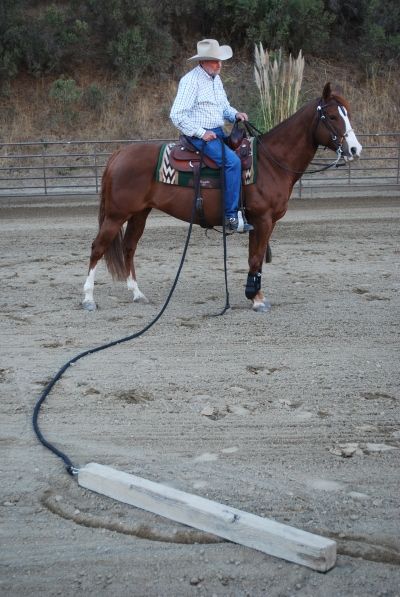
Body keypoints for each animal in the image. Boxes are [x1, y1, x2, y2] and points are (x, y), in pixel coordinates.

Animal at [82, 83, 362, 312]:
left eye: (347, 114)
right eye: (333, 116)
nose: (355, 149)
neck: (271, 162)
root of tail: (119, 153)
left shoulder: (261, 223)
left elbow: (256, 260)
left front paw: (255, 294)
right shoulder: (262, 220)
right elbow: (255, 258)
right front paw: (256, 299)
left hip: (139, 214)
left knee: (129, 247)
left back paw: (137, 294)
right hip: (116, 215)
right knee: (98, 247)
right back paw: (88, 299)